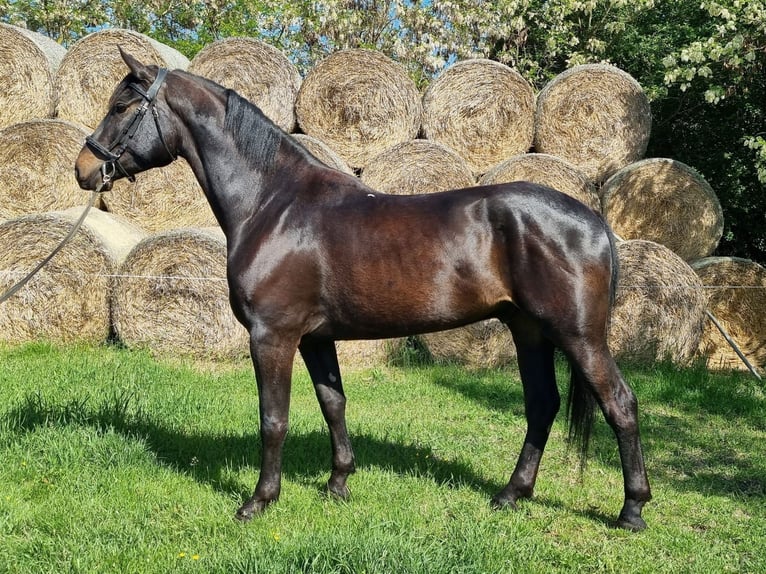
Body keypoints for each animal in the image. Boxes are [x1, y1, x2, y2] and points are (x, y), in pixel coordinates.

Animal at [76, 49, 656, 532]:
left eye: (122, 105)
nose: (84, 169)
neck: (273, 204)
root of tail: (593, 220)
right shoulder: (315, 338)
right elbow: (333, 403)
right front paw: (338, 484)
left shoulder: (272, 336)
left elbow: (273, 419)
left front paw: (259, 501)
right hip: (529, 330)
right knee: (541, 405)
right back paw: (512, 494)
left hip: (578, 335)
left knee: (620, 404)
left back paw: (631, 510)